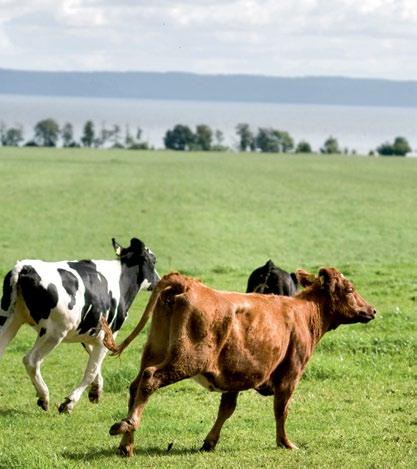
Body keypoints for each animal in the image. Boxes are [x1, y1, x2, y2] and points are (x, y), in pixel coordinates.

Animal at [0, 238, 159, 414]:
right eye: (153, 260)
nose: (158, 280)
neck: (121, 280)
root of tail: (25, 267)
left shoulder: (89, 334)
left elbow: (95, 365)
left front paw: (96, 391)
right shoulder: (106, 336)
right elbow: (91, 370)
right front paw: (69, 403)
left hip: (10, 319)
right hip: (53, 333)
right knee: (31, 360)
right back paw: (44, 397)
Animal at [101, 268, 376, 456]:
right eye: (350, 290)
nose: (372, 310)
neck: (304, 312)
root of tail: (188, 284)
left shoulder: (234, 376)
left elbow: (226, 409)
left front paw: (210, 442)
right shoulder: (290, 374)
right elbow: (282, 410)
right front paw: (285, 443)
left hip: (155, 350)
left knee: (135, 386)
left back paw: (127, 444)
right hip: (186, 360)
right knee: (150, 378)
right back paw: (128, 425)